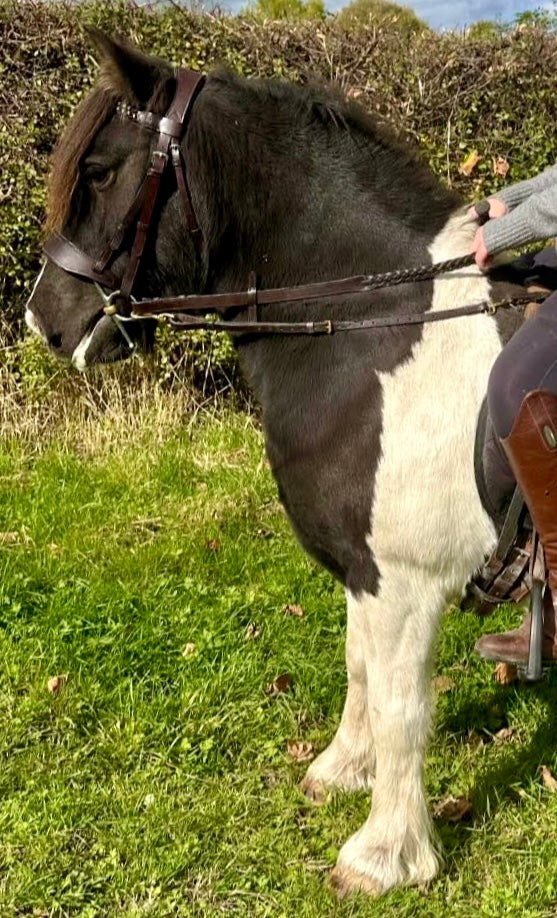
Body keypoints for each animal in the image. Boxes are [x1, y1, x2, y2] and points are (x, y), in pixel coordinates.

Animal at [25, 29, 526, 898]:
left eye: (100, 171)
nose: (43, 320)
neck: (374, 329)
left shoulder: (404, 579)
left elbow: (401, 709)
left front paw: (383, 855)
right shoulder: (365, 571)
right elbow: (361, 671)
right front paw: (342, 771)